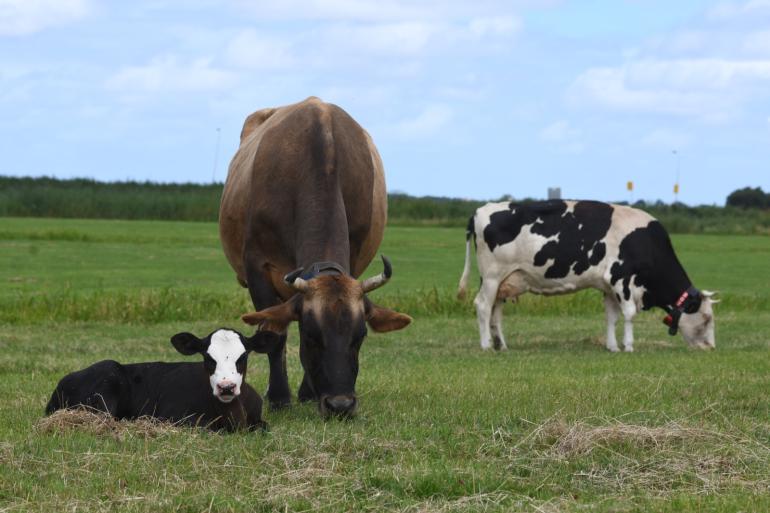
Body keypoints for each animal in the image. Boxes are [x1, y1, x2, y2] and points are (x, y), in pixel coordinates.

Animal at [44, 326, 280, 430]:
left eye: (243, 356)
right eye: (208, 357)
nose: (226, 387)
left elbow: (263, 426)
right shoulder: (172, 416)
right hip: (107, 378)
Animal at [218, 96, 408, 416]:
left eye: (360, 337)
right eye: (311, 336)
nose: (340, 404)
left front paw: (307, 393)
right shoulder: (258, 268)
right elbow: (275, 334)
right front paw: (279, 397)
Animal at [456, 200, 712, 352]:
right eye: (707, 319)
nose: (710, 346)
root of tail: (480, 210)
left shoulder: (609, 286)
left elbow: (612, 317)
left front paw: (612, 347)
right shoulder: (622, 278)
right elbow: (629, 314)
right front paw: (628, 346)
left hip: (504, 280)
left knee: (495, 311)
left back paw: (501, 345)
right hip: (492, 275)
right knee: (482, 305)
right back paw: (486, 345)